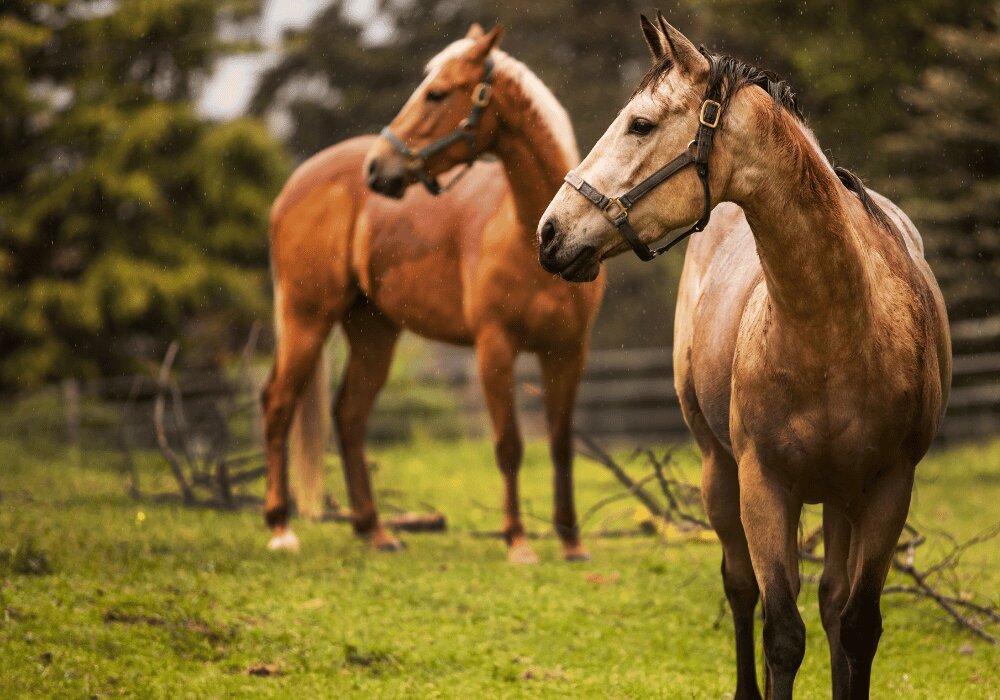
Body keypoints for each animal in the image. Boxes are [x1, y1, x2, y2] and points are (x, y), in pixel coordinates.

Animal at [262, 23, 604, 563]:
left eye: (437, 93)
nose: (377, 168)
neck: (532, 234)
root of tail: (295, 184)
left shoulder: (568, 352)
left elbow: (561, 444)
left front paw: (572, 543)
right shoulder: (494, 348)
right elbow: (509, 444)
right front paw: (517, 542)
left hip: (373, 332)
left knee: (349, 415)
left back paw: (376, 532)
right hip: (306, 318)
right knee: (278, 403)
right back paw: (280, 528)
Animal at [536, 13, 949, 699]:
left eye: (640, 124)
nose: (549, 232)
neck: (839, 330)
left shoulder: (891, 487)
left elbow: (857, 627)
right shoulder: (765, 485)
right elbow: (780, 631)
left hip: (842, 496)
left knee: (833, 603)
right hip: (718, 470)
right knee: (741, 587)